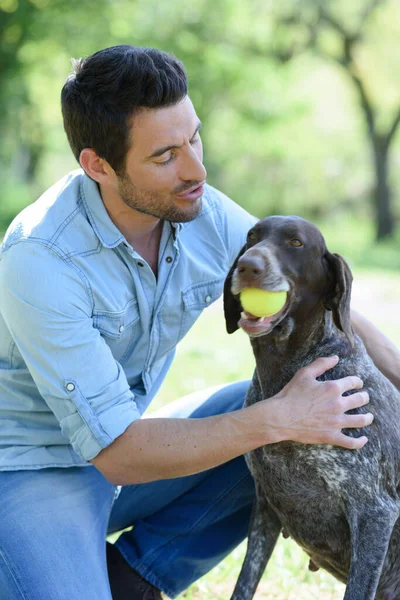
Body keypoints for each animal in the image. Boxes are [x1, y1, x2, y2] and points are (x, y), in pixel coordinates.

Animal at [223, 216, 400, 600]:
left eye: (296, 243)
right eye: (252, 236)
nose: (248, 266)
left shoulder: (375, 513)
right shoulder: (266, 507)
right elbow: (244, 584)